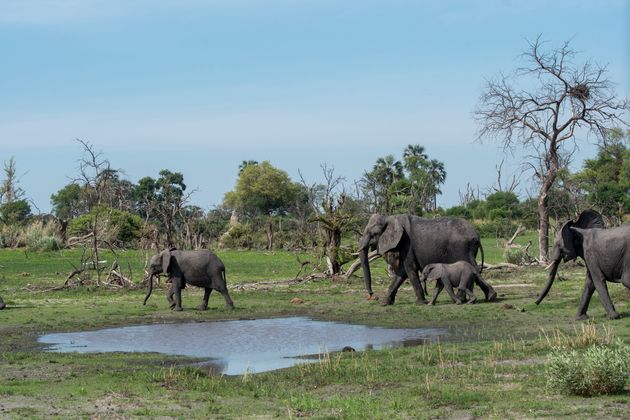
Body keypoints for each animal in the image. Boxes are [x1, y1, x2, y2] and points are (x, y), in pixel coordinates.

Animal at [358, 213, 496, 306]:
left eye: (373, 234)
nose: (371, 295)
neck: (390, 217)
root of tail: (476, 235)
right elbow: (401, 273)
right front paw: (385, 303)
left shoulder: (407, 244)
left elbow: (409, 269)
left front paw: (421, 303)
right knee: (474, 269)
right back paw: (487, 297)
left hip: (461, 248)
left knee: (471, 267)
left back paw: (468, 299)